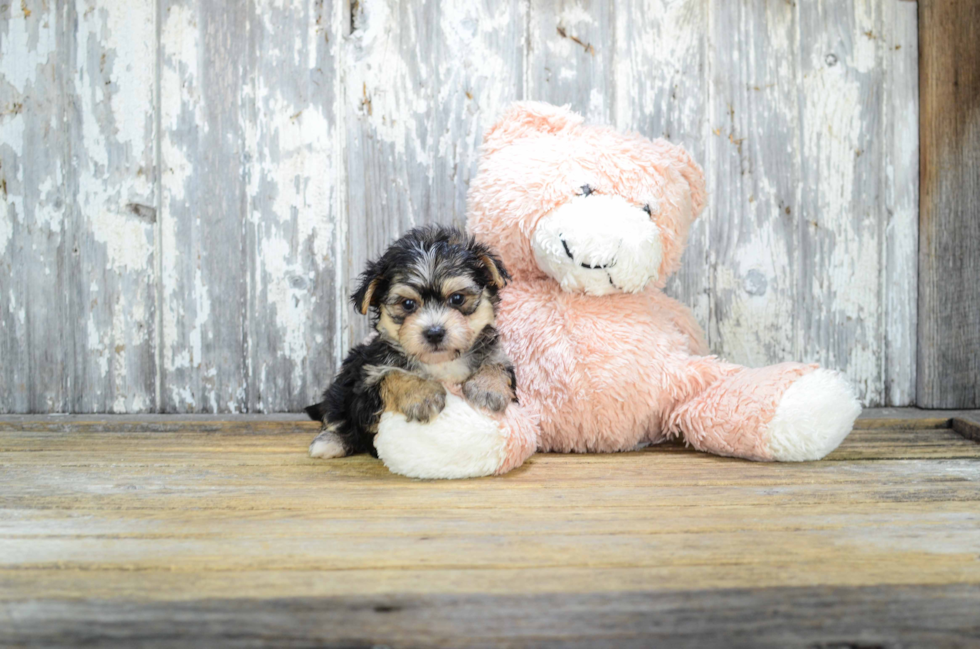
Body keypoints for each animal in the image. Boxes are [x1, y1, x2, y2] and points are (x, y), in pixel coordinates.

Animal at [306, 225, 520, 458]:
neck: (440, 363)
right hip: (346, 378)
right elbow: (391, 375)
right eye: (408, 304)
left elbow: (497, 363)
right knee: (335, 414)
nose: (434, 332)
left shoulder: (496, 353)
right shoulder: (365, 382)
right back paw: (330, 442)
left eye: (457, 299)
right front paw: (422, 396)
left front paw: (488, 388)